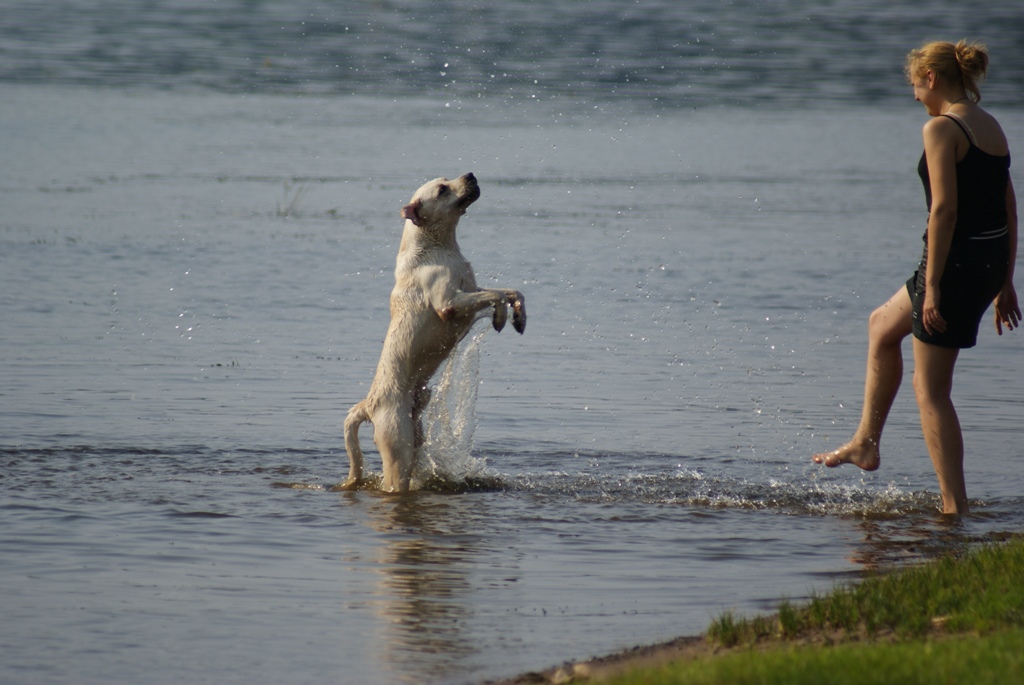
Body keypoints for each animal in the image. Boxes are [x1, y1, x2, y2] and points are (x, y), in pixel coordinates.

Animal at [339, 170, 528, 491]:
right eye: (442, 190)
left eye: (446, 179)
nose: (470, 174)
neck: (439, 245)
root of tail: (369, 404)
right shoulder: (448, 303)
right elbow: (495, 295)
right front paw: (502, 316)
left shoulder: (470, 289)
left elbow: (509, 291)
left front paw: (517, 317)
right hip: (398, 445)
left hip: (416, 435)